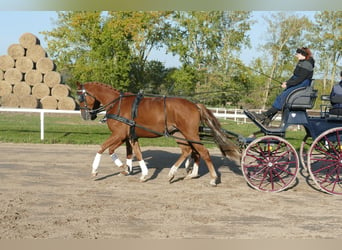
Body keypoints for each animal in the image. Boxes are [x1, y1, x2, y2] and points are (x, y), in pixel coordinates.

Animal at [77, 82, 240, 186]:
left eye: (80, 97)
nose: (85, 115)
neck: (117, 104)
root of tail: (195, 105)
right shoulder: (130, 136)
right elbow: (136, 153)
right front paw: (138, 173)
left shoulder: (119, 135)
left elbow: (103, 148)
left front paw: (96, 171)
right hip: (180, 134)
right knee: (188, 151)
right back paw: (175, 173)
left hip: (190, 134)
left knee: (203, 152)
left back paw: (212, 178)